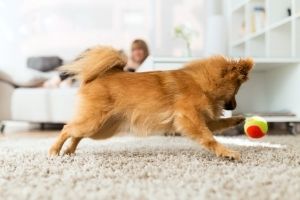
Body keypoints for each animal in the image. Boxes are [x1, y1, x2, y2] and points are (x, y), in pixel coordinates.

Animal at [49, 46, 253, 160]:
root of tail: (96, 77)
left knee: (76, 135)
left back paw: (69, 150)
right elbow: (209, 137)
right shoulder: (189, 119)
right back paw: (54, 151)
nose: (234, 106)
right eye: (236, 90)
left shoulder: (203, 120)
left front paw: (238, 119)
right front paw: (226, 152)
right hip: (94, 122)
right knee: (67, 128)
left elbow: (220, 123)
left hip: (101, 129)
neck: (202, 83)